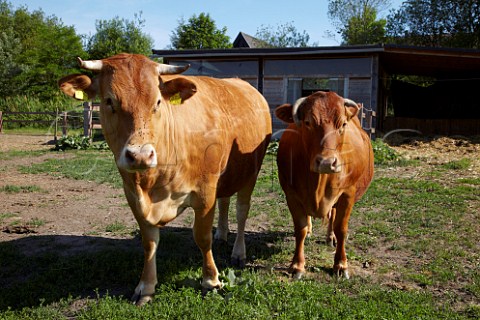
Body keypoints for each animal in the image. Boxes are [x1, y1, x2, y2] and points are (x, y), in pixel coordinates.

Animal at [57, 53, 270, 306]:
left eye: (158, 102)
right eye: (109, 101)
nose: (140, 155)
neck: (152, 185)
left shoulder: (205, 191)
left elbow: (202, 236)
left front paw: (211, 280)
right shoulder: (133, 196)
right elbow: (149, 242)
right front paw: (145, 287)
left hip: (251, 172)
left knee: (241, 211)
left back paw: (238, 252)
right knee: (225, 202)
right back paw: (222, 234)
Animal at [274, 91, 376, 278]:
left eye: (342, 124)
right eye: (307, 122)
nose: (327, 162)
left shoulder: (347, 195)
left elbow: (341, 229)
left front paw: (341, 265)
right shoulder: (291, 195)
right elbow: (300, 229)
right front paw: (297, 265)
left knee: (333, 217)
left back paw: (330, 238)